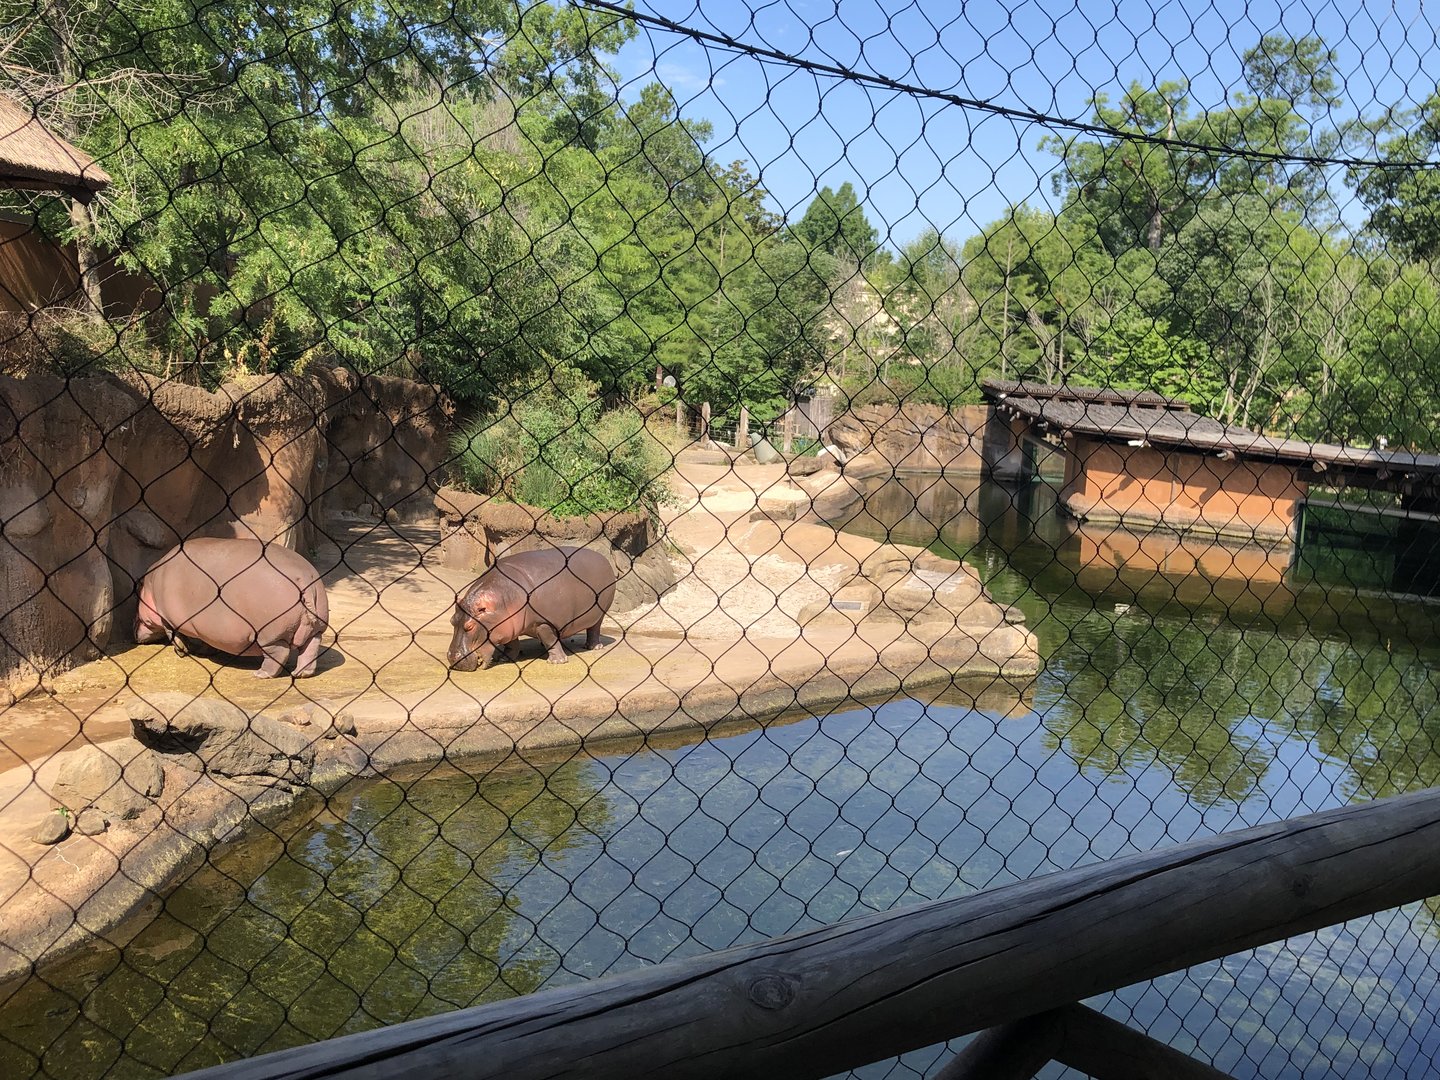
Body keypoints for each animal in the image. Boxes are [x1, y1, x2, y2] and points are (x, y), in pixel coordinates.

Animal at [134, 538, 329, 678]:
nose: (134, 633)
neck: (151, 582)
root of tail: (303, 579)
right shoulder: (206, 629)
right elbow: (206, 641)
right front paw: (205, 651)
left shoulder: (167, 617)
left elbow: (174, 635)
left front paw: (182, 651)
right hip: (316, 628)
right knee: (310, 648)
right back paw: (301, 674)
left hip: (271, 636)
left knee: (279, 653)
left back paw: (261, 674)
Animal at [448, 547, 616, 671]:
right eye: (452, 621)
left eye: (469, 626)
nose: (453, 658)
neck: (503, 600)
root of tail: (603, 558)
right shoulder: (509, 625)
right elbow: (512, 643)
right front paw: (503, 657)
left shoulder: (543, 623)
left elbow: (550, 640)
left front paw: (557, 662)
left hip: (600, 614)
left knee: (594, 629)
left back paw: (593, 647)